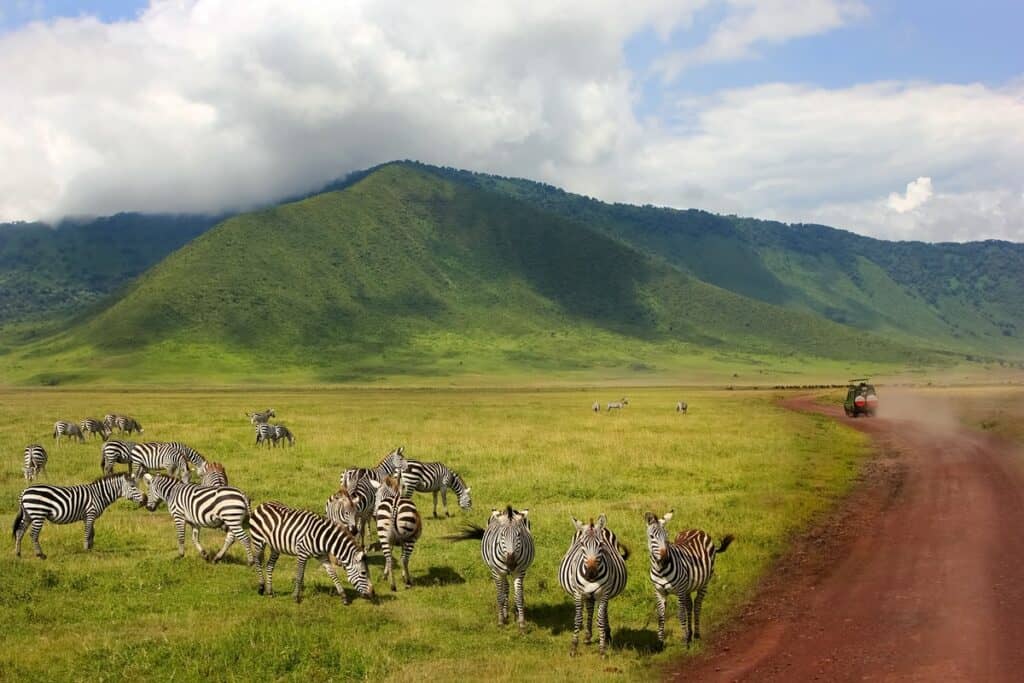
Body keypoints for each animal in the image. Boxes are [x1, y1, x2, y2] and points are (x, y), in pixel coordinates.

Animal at [12, 475, 147, 561]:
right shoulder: (90, 514)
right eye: (133, 487)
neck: (99, 494)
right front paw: (86, 550)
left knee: (19, 532)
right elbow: (87, 533)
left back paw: (18, 554)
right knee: (33, 534)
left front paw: (91, 548)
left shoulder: (90, 516)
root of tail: (25, 491)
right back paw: (40, 555)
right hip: (38, 514)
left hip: (28, 515)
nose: (145, 500)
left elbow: (92, 533)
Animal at [247, 501, 376, 602]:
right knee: (257, 561)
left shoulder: (322, 556)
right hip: (258, 541)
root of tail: (262, 505)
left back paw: (270, 591)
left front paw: (343, 596)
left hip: (275, 547)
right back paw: (261, 587)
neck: (324, 538)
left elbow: (333, 573)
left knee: (269, 566)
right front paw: (295, 597)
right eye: (364, 573)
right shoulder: (302, 553)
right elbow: (299, 575)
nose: (373, 593)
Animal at [448, 505, 536, 634]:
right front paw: (501, 622)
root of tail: (506, 511)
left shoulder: (519, 572)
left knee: (508, 588)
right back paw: (505, 614)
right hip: (500, 571)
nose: (511, 563)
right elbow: (499, 597)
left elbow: (519, 598)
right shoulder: (497, 573)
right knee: (504, 588)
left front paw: (522, 625)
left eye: (519, 534)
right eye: (502, 535)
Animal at [557, 516, 626, 655]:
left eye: (600, 544)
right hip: (588, 594)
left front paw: (602, 649)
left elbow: (600, 620)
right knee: (590, 608)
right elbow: (578, 619)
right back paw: (588, 636)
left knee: (602, 611)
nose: (591, 573)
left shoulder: (604, 593)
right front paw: (574, 647)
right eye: (582, 544)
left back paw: (606, 635)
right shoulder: (578, 593)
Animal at [643, 511, 733, 647]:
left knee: (697, 605)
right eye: (652, 536)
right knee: (689, 605)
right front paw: (660, 643)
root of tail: (697, 530)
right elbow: (661, 616)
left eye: (667, 536)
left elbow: (681, 614)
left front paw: (685, 642)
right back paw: (690, 634)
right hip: (688, 586)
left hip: (704, 583)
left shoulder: (680, 590)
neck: (661, 569)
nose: (665, 559)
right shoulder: (659, 591)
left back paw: (696, 635)